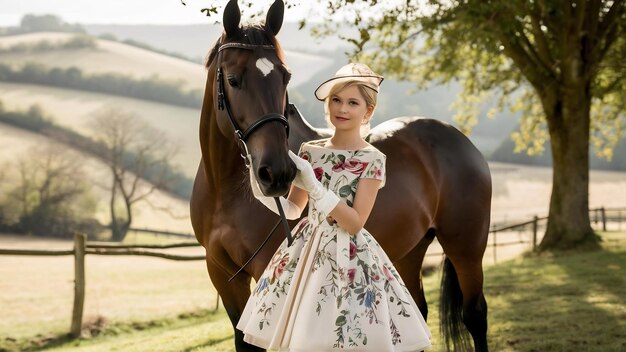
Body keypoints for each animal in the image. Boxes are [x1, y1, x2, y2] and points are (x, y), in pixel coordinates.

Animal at [188, 0, 490, 350]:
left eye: (285, 78)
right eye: (234, 79)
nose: (277, 172)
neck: (225, 191)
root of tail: (459, 139)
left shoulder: (265, 267)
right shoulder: (222, 276)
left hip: (466, 247)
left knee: (475, 314)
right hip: (411, 250)